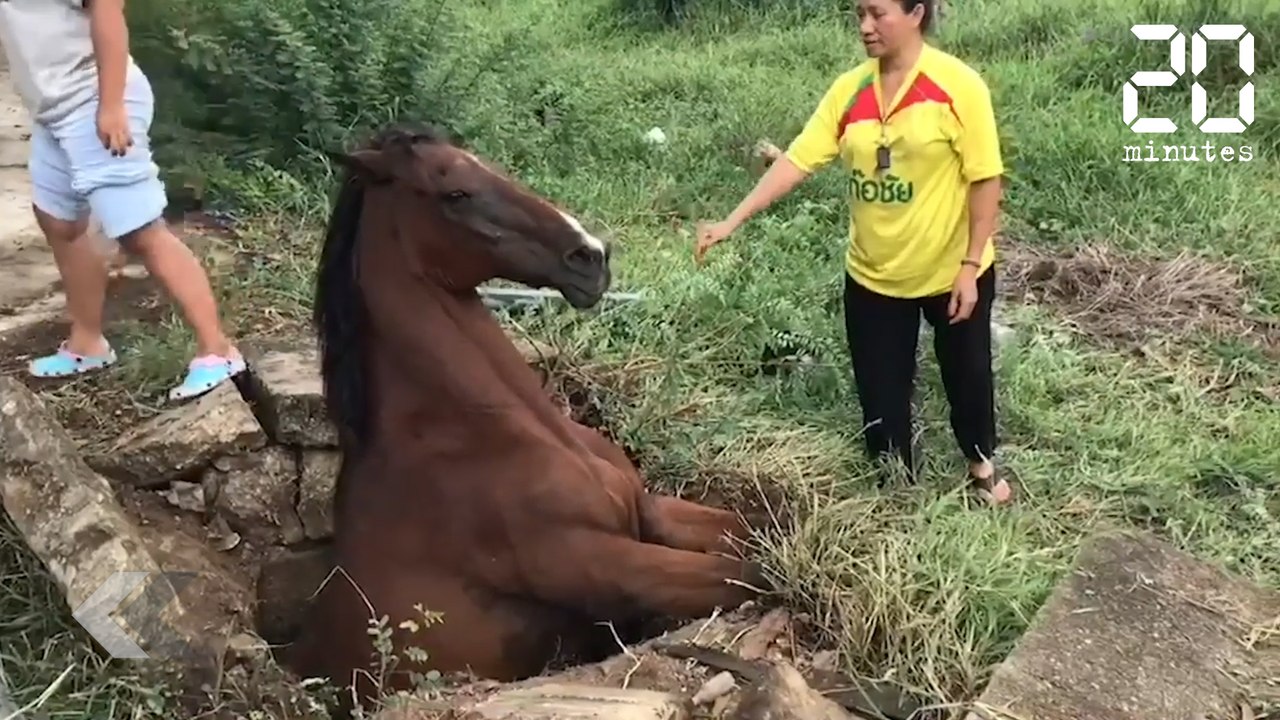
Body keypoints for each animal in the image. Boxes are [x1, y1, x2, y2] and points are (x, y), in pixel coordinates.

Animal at [285, 123, 766, 714]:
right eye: (455, 194)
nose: (591, 255)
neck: (485, 430)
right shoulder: (597, 560)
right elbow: (745, 574)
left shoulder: (646, 511)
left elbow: (754, 529)